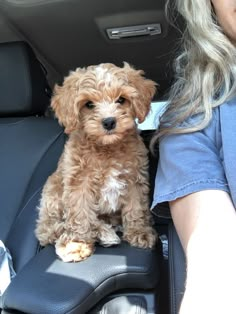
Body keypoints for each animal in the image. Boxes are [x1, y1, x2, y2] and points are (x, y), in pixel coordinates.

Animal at [34, 62, 157, 262]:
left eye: (121, 100)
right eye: (89, 104)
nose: (109, 122)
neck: (107, 147)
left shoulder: (135, 178)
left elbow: (136, 208)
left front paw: (139, 232)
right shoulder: (79, 182)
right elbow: (80, 213)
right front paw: (77, 244)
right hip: (53, 192)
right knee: (50, 229)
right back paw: (101, 233)